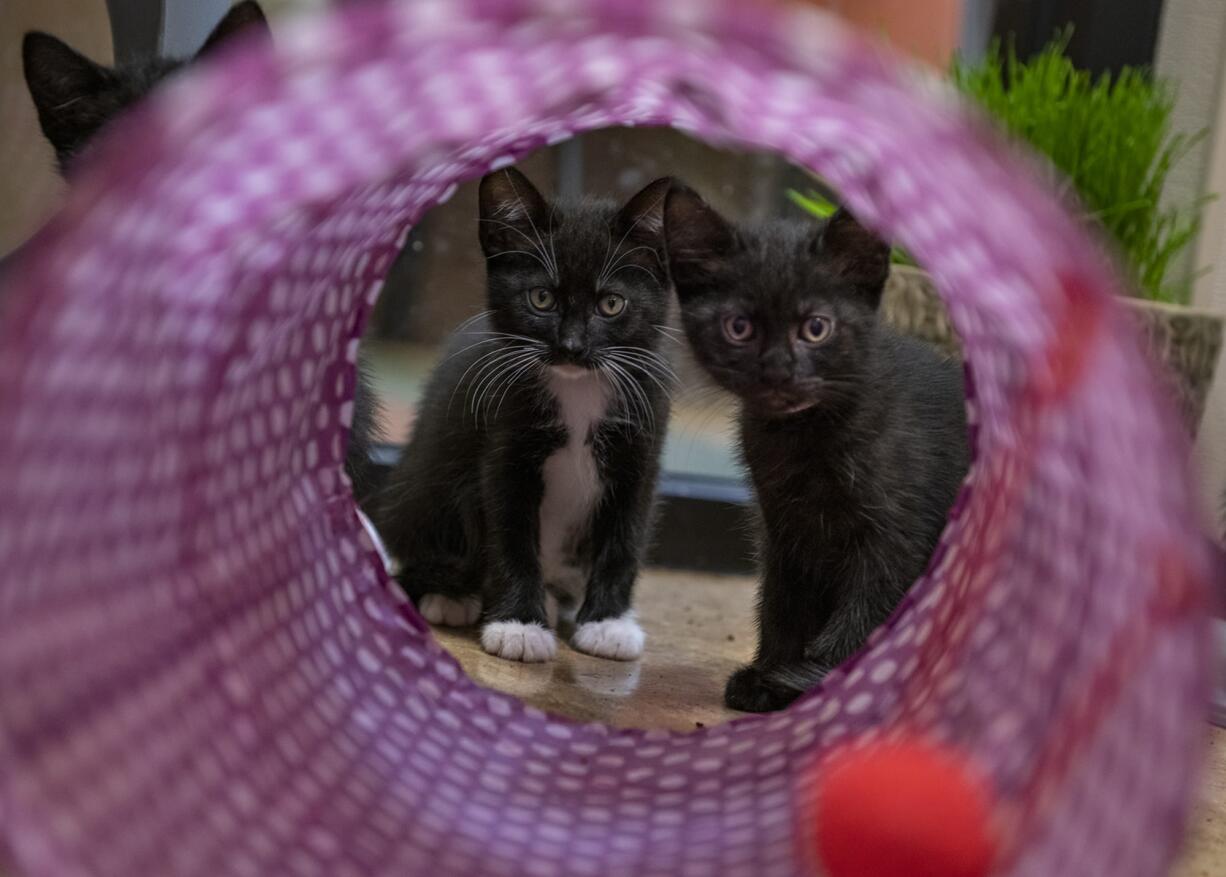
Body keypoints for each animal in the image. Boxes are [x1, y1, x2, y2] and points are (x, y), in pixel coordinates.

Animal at [377, 168, 676, 662]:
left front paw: (608, 623)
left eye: (611, 304)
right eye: (541, 299)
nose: (572, 347)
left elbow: (626, 535)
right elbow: (510, 532)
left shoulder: (642, 447)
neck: (578, 388)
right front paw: (518, 625)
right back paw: (451, 595)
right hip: (426, 485)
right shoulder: (504, 445)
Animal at [662, 186, 966, 711]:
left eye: (816, 327)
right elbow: (781, 603)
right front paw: (766, 674)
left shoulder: (898, 532)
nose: (778, 371)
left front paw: (816, 683)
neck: (803, 438)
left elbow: (867, 611)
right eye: (739, 327)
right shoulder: (784, 527)